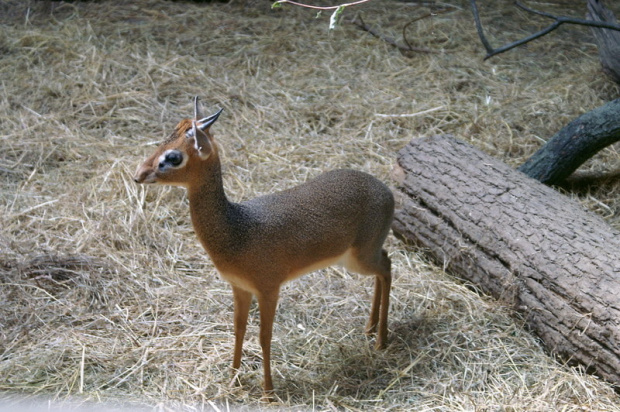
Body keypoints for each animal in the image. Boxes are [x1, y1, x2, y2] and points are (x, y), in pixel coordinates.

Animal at [134, 98, 394, 398]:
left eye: (174, 157)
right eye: (162, 141)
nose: (139, 175)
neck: (238, 229)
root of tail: (388, 191)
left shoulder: (269, 290)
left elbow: (264, 336)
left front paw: (268, 391)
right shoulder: (240, 287)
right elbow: (238, 330)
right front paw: (233, 379)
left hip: (361, 257)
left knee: (388, 267)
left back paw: (380, 341)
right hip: (352, 260)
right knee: (383, 267)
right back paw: (369, 329)